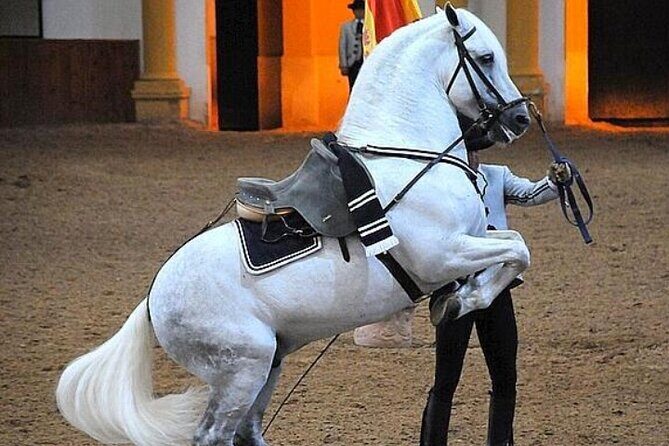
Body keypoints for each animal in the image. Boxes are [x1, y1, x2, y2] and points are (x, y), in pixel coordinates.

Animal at [56, 5, 531, 446]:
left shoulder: (468, 242)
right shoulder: (442, 254)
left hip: (268, 366)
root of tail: (153, 300)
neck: (409, 157)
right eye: (486, 57)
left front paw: (460, 298)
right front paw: (461, 301)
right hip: (243, 370)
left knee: (246, 432)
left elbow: (512, 244)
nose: (521, 119)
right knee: (213, 435)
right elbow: (518, 249)